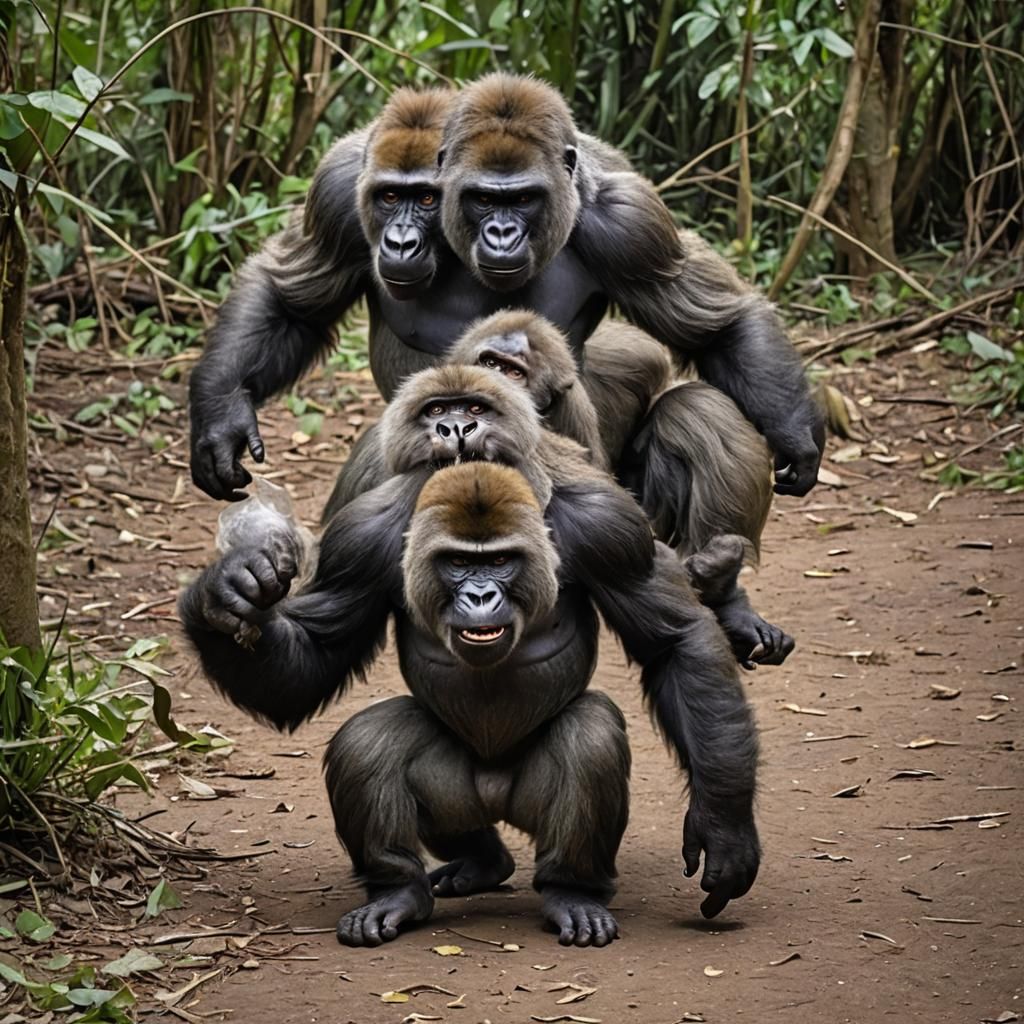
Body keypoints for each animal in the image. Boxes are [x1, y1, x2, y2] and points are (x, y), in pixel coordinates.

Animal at [181, 421, 761, 945]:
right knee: (370, 741)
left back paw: (572, 891)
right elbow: (313, 656)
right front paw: (222, 597)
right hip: (461, 802)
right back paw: (411, 885)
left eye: (500, 560)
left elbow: (674, 643)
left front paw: (723, 827)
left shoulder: (610, 529)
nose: (480, 595)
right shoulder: (357, 540)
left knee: (590, 736)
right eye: (459, 562)